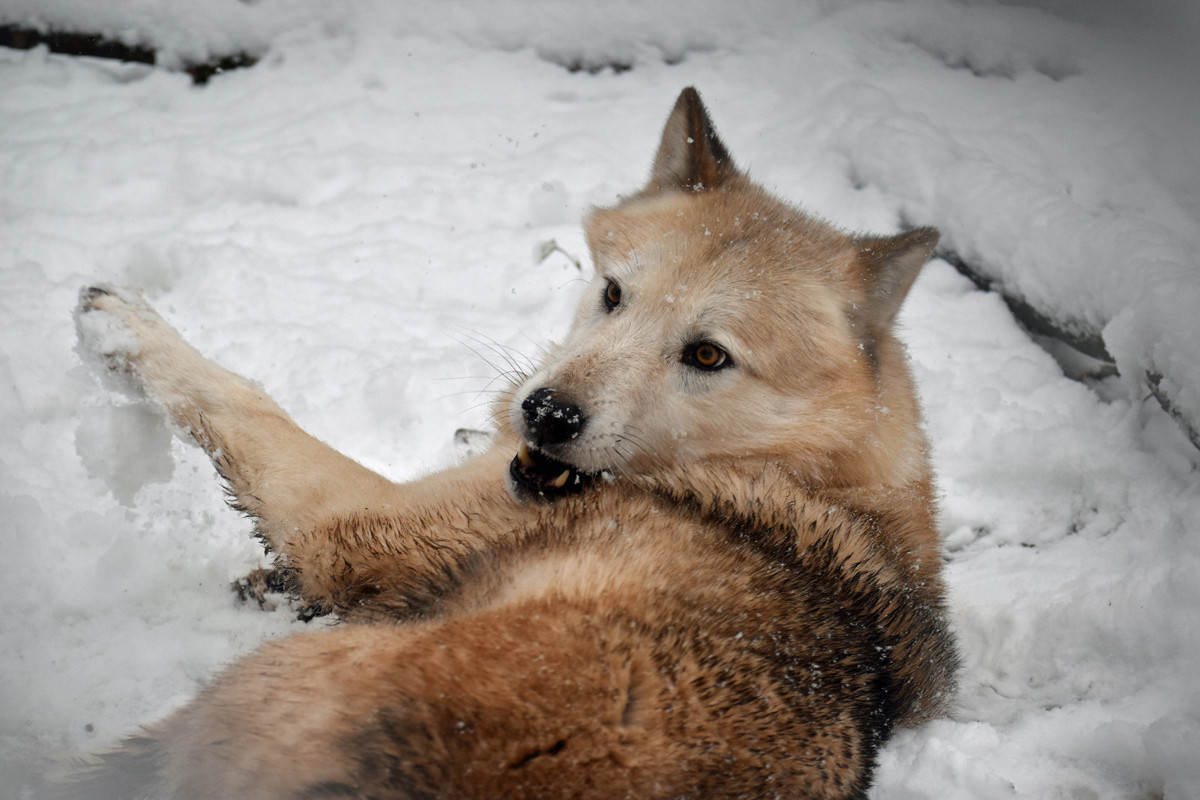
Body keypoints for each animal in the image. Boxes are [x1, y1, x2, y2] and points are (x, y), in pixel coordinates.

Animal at [72, 89, 955, 800]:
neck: (805, 475)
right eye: (612, 294)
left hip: (266, 673)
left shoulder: (350, 526)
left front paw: (123, 326)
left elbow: (241, 400)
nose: (548, 414)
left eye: (708, 355)